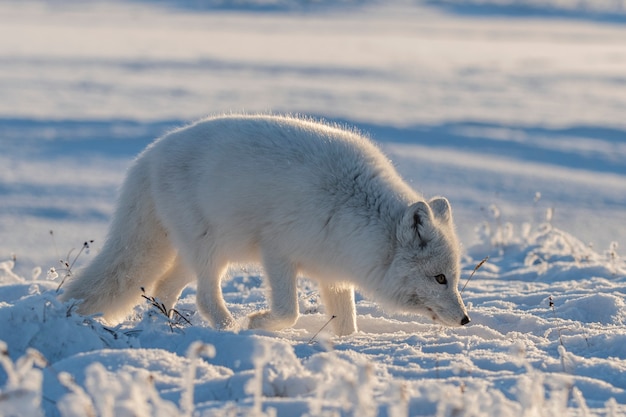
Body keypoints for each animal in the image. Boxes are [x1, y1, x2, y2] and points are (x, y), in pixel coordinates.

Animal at [59, 114, 468, 334]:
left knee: (163, 290)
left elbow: (347, 325)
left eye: (453, 277)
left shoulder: (332, 272)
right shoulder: (277, 252)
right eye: (440, 278)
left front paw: (347, 347)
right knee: (205, 298)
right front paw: (257, 322)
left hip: (192, 256)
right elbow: (290, 312)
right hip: (210, 251)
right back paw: (230, 329)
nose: (465, 319)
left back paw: (160, 328)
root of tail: (146, 156)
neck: (352, 207)